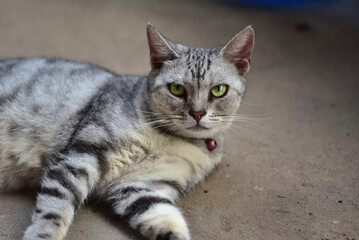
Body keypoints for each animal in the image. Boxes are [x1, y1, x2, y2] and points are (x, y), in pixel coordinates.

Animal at [0, 23, 255, 240]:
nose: (197, 113)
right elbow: (54, 210)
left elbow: (166, 219)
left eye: (219, 90)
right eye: (176, 89)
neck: (169, 138)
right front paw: (42, 234)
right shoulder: (80, 156)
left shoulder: (141, 187)